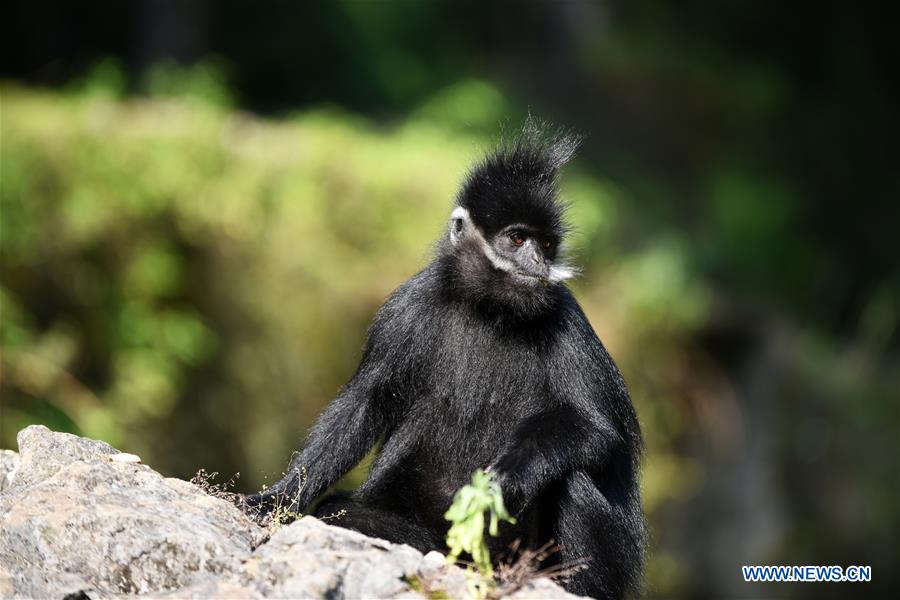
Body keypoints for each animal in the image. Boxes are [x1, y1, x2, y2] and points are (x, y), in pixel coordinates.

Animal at [243, 123, 644, 600]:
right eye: (517, 239)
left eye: (546, 244)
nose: (538, 261)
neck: (489, 310)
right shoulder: (406, 308)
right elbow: (364, 404)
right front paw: (276, 499)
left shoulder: (568, 319)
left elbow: (596, 428)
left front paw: (506, 477)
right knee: (345, 508)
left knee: (574, 479)